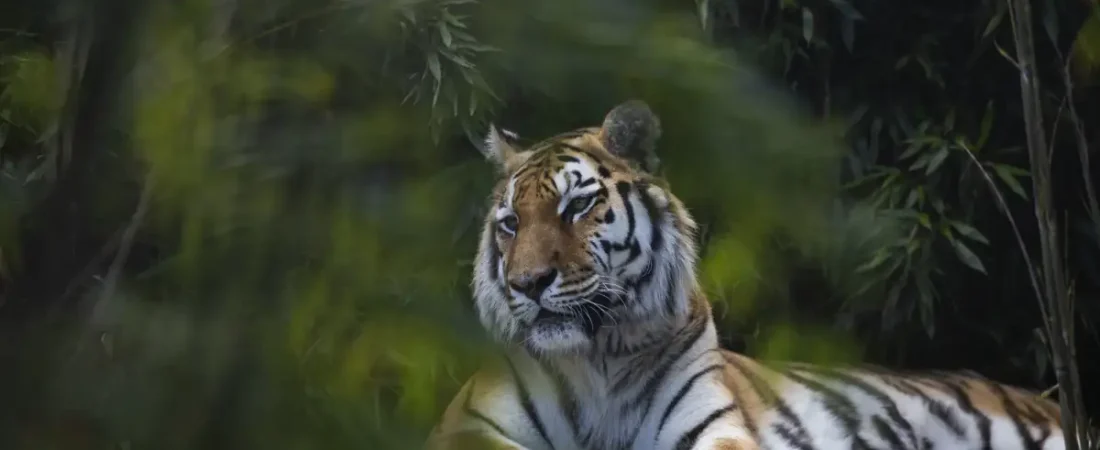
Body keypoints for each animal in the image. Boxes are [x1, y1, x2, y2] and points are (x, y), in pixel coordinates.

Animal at [425, 100, 1070, 450]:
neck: (599, 356)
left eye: (577, 206)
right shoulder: (469, 424)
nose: (528, 284)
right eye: (511, 223)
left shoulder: (708, 425)